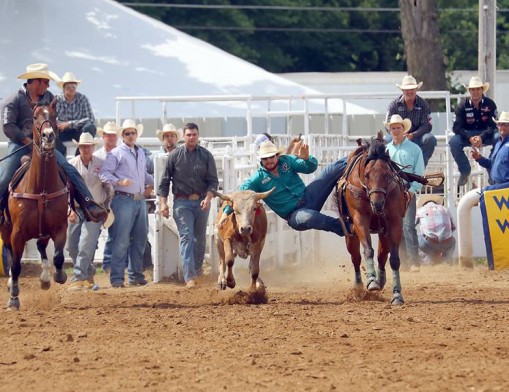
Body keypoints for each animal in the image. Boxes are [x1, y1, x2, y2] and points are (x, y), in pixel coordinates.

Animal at [0, 102, 69, 310]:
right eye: (35, 116)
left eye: (54, 115)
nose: (48, 135)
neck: (41, 189)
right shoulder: (17, 233)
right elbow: (16, 266)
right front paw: (13, 298)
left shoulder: (60, 227)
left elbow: (58, 257)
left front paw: (59, 275)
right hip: (6, 230)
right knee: (11, 254)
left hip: (42, 231)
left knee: (41, 247)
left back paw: (45, 278)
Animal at [338, 133, 408, 304]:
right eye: (367, 175)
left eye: (387, 175)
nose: (377, 203)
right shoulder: (360, 220)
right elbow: (368, 250)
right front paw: (371, 281)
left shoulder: (395, 223)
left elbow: (394, 259)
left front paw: (397, 294)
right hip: (350, 234)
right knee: (356, 258)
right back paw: (359, 286)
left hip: (383, 232)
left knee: (382, 257)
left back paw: (381, 280)